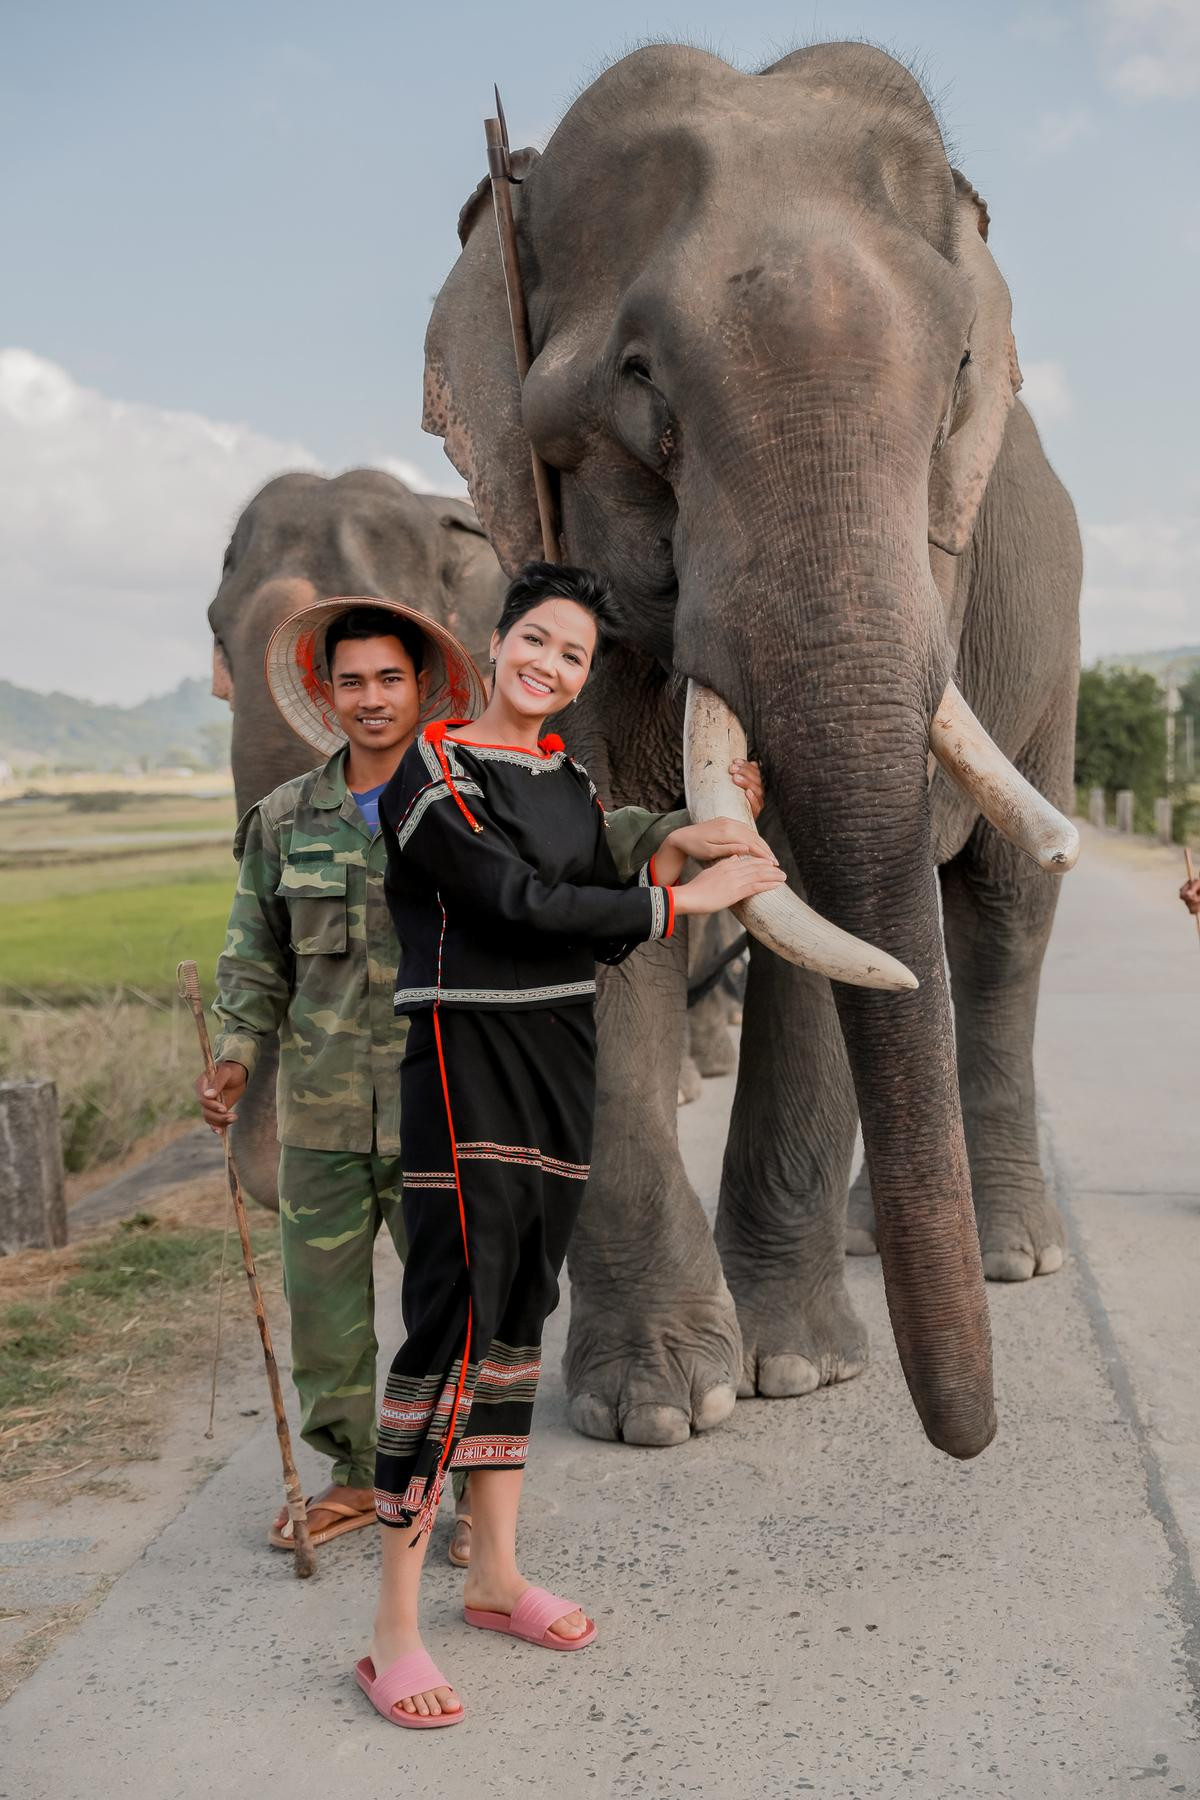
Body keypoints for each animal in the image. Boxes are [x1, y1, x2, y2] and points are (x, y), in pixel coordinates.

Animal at [420, 38, 1079, 1461]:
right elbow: (605, 876)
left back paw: (1008, 1258)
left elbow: (829, 905)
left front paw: (795, 1369)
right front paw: (664, 1406)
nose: (968, 1444)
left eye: (958, 372)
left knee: (1005, 920)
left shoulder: (939, 555)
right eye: (638, 380)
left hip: (1048, 665)